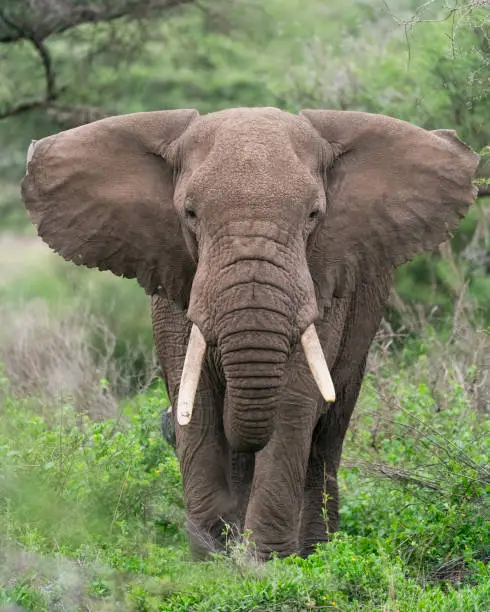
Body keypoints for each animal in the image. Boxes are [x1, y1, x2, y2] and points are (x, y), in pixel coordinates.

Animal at [22, 106, 478, 560]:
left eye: (313, 215)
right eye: (190, 214)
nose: (163, 423)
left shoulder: (321, 283)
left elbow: (293, 401)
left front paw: (266, 563)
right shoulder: (175, 278)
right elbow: (199, 403)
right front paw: (210, 560)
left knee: (327, 436)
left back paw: (315, 553)